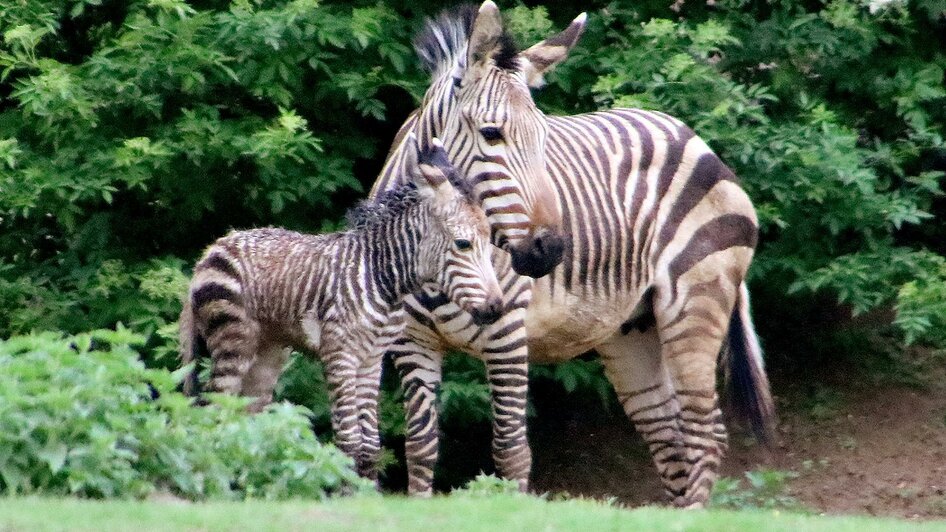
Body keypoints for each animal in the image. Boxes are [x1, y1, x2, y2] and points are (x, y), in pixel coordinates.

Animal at [179, 139, 502, 480]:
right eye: (463, 244)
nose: (496, 308)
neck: (380, 276)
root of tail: (211, 250)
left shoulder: (372, 360)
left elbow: (370, 446)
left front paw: (364, 490)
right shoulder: (340, 354)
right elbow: (349, 441)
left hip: (267, 352)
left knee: (246, 418)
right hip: (234, 341)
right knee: (213, 412)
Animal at [368, 1, 776, 508]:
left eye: (545, 139)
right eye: (491, 134)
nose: (552, 249)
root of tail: (695, 139)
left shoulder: (507, 334)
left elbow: (510, 449)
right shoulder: (411, 341)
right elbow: (420, 447)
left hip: (695, 306)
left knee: (705, 435)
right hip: (632, 331)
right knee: (670, 440)